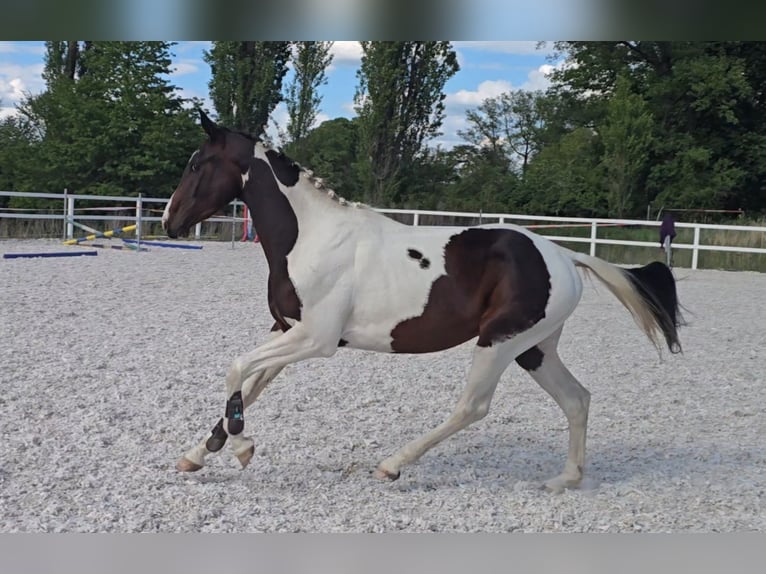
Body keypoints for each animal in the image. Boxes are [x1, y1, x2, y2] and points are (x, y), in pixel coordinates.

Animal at [162, 109, 683, 492]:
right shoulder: (288, 330)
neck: (310, 238)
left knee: (473, 407)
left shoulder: (316, 340)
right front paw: (197, 455)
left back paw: (392, 465)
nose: (169, 221)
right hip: (534, 348)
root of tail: (566, 255)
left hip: (499, 342)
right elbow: (249, 385)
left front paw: (242, 448)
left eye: (197, 164)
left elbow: (236, 369)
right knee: (576, 399)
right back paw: (565, 480)